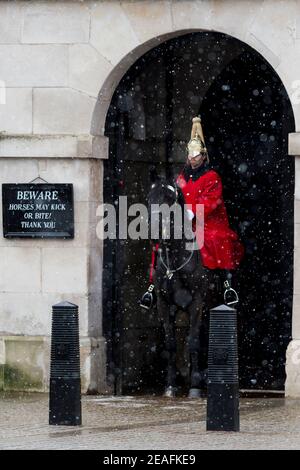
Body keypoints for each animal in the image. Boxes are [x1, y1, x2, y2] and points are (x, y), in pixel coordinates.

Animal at [146, 171, 210, 398]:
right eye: (149, 198)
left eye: (169, 199)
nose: (154, 231)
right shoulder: (164, 304)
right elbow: (171, 343)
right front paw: (170, 385)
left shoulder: (197, 302)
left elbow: (193, 341)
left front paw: (195, 387)